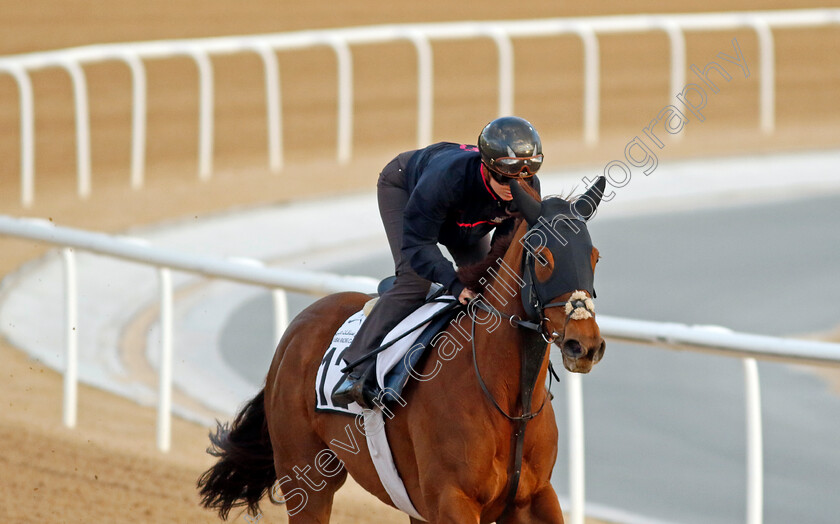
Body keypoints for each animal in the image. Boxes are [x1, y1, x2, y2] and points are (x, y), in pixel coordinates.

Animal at [202, 178, 612, 520]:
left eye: (594, 256)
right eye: (543, 258)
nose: (584, 344)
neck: (510, 403)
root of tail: (295, 330)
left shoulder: (535, 497)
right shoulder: (452, 501)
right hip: (304, 477)